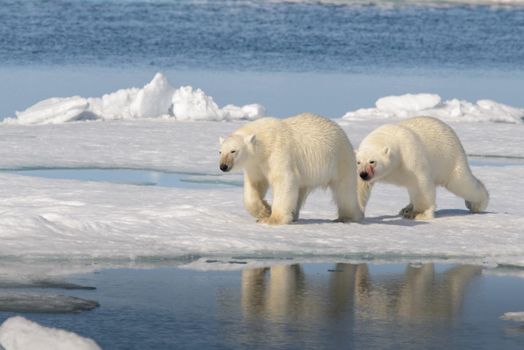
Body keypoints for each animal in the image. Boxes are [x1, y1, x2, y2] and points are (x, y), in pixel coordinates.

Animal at [219, 113, 362, 226]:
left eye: (233, 151)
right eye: (220, 152)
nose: (223, 166)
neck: (264, 141)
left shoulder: (278, 152)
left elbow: (284, 180)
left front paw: (272, 219)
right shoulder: (256, 164)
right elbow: (255, 185)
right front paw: (265, 211)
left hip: (340, 159)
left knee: (344, 190)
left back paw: (347, 217)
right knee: (300, 191)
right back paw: (294, 215)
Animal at [358, 116, 490, 220]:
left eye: (372, 161)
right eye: (358, 162)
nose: (364, 174)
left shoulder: (410, 156)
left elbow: (420, 184)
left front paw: (418, 214)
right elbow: (359, 187)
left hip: (449, 160)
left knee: (462, 184)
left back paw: (477, 204)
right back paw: (406, 208)